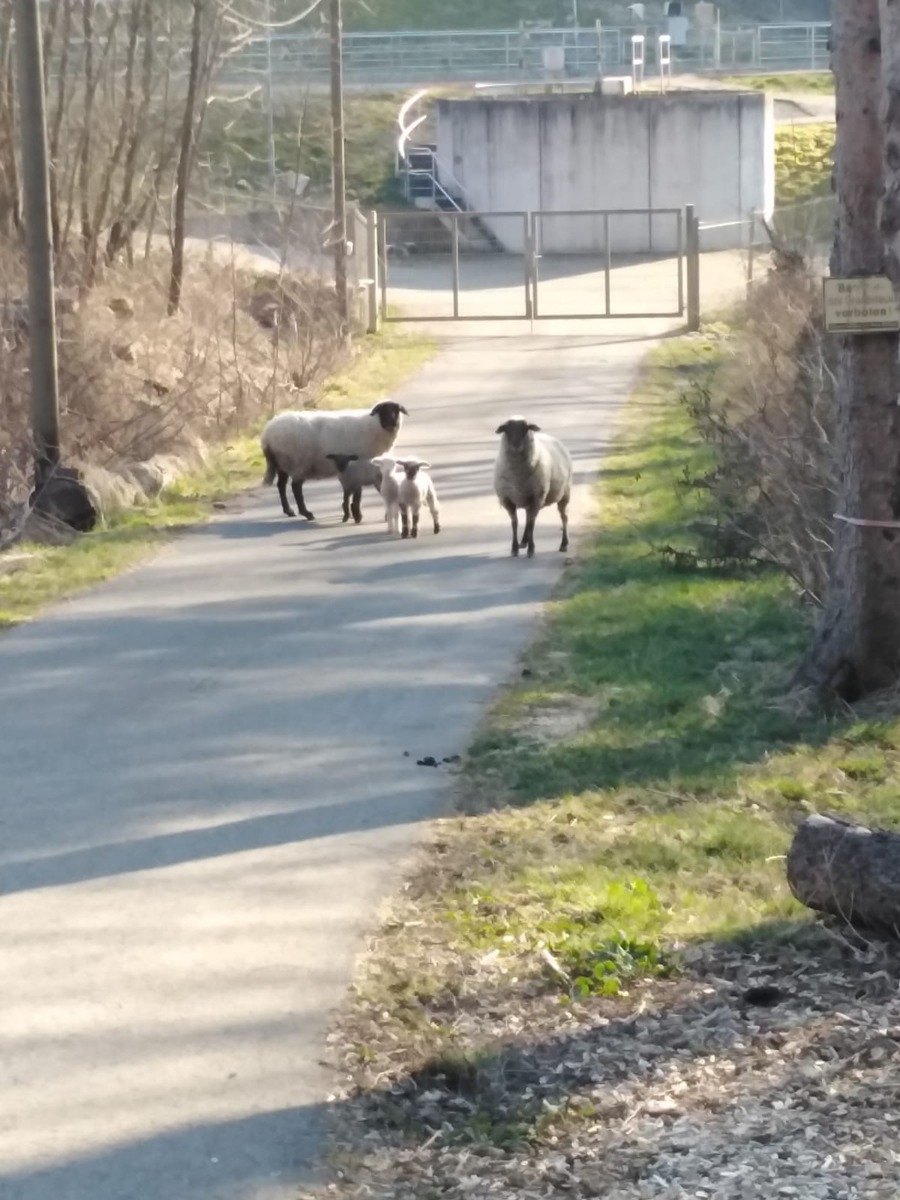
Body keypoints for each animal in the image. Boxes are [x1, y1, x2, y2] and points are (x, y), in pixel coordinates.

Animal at [256, 398, 405, 520]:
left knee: (281, 485)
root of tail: (267, 435)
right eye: (383, 411)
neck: (374, 426)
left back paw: (289, 511)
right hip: (298, 462)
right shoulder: (360, 466)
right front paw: (356, 514)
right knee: (295, 487)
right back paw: (306, 513)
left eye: (396, 410)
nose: (392, 423)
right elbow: (358, 493)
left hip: (283, 462)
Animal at [494, 417, 571, 556]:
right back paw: (523, 541)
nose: (516, 445)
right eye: (507, 429)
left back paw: (564, 544)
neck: (517, 477)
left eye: (526, 429)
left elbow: (531, 524)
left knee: (564, 517)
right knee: (528, 517)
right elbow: (515, 523)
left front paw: (531, 549)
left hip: (564, 494)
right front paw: (514, 548)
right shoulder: (508, 500)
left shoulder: (536, 498)